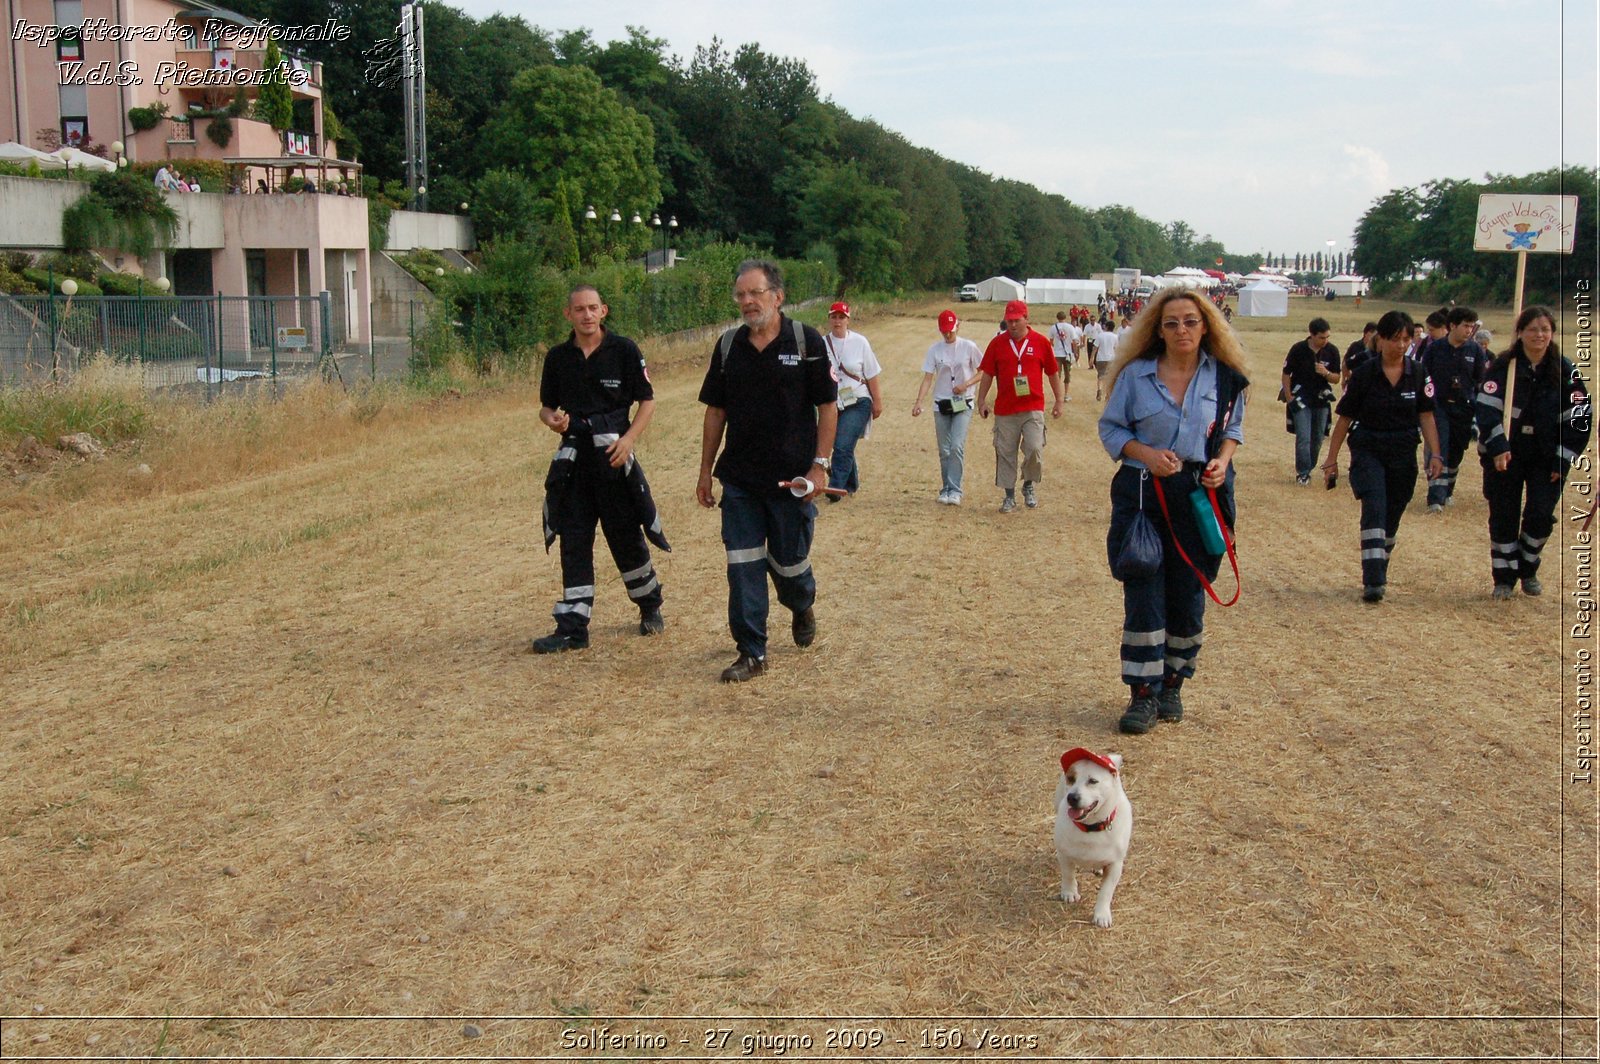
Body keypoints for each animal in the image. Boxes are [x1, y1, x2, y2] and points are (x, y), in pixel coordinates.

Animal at [1056, 742, 1132, 928]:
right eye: (1071, 778)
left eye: (1093, 781)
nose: (1072, 797)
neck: (1090, 827)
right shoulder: (1064, 854)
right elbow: (1068, 874)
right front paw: (1069, 892)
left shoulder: (1115, 866)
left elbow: (1106, 892)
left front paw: (1101, 915)